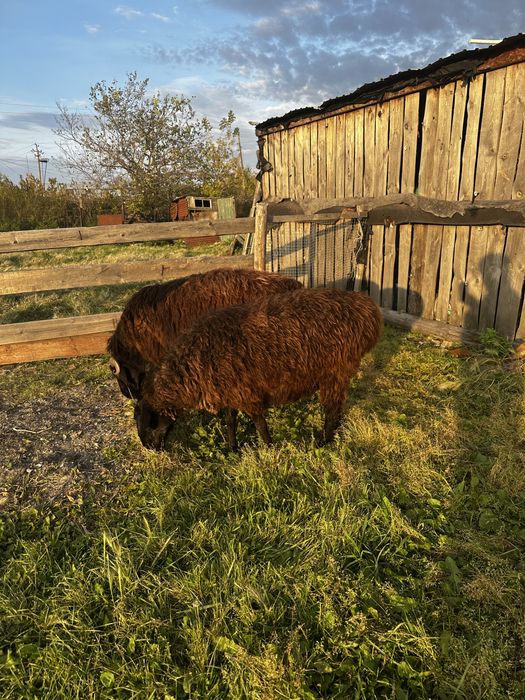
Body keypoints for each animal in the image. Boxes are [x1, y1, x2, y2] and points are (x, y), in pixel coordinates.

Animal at [134, 288, 383, 450]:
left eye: (149, 421)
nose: (150, 448)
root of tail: (368, 308)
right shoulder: (230, 391)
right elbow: (230, 421)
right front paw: (233, 448)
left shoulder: (248, 394)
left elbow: (260, 426)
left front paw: (270, 450)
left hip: (335, 372)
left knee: (332, 411)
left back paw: (323, 443)